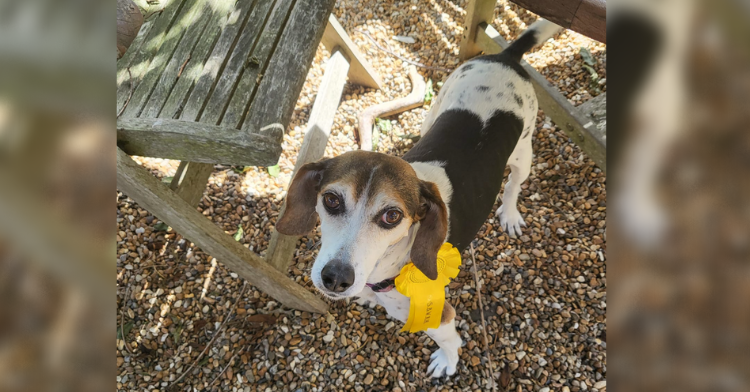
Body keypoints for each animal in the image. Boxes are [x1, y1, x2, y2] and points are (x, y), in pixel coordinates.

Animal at [278, 19, 564, 378]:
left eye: (392, 216)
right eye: (331, 200)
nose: (336, 278)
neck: (390, 264)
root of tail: (506, 56)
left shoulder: (440, 316)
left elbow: (451, 343)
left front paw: (447, 363)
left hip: (523, 153)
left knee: (513, 184)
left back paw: (510, 214)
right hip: (435, 110)